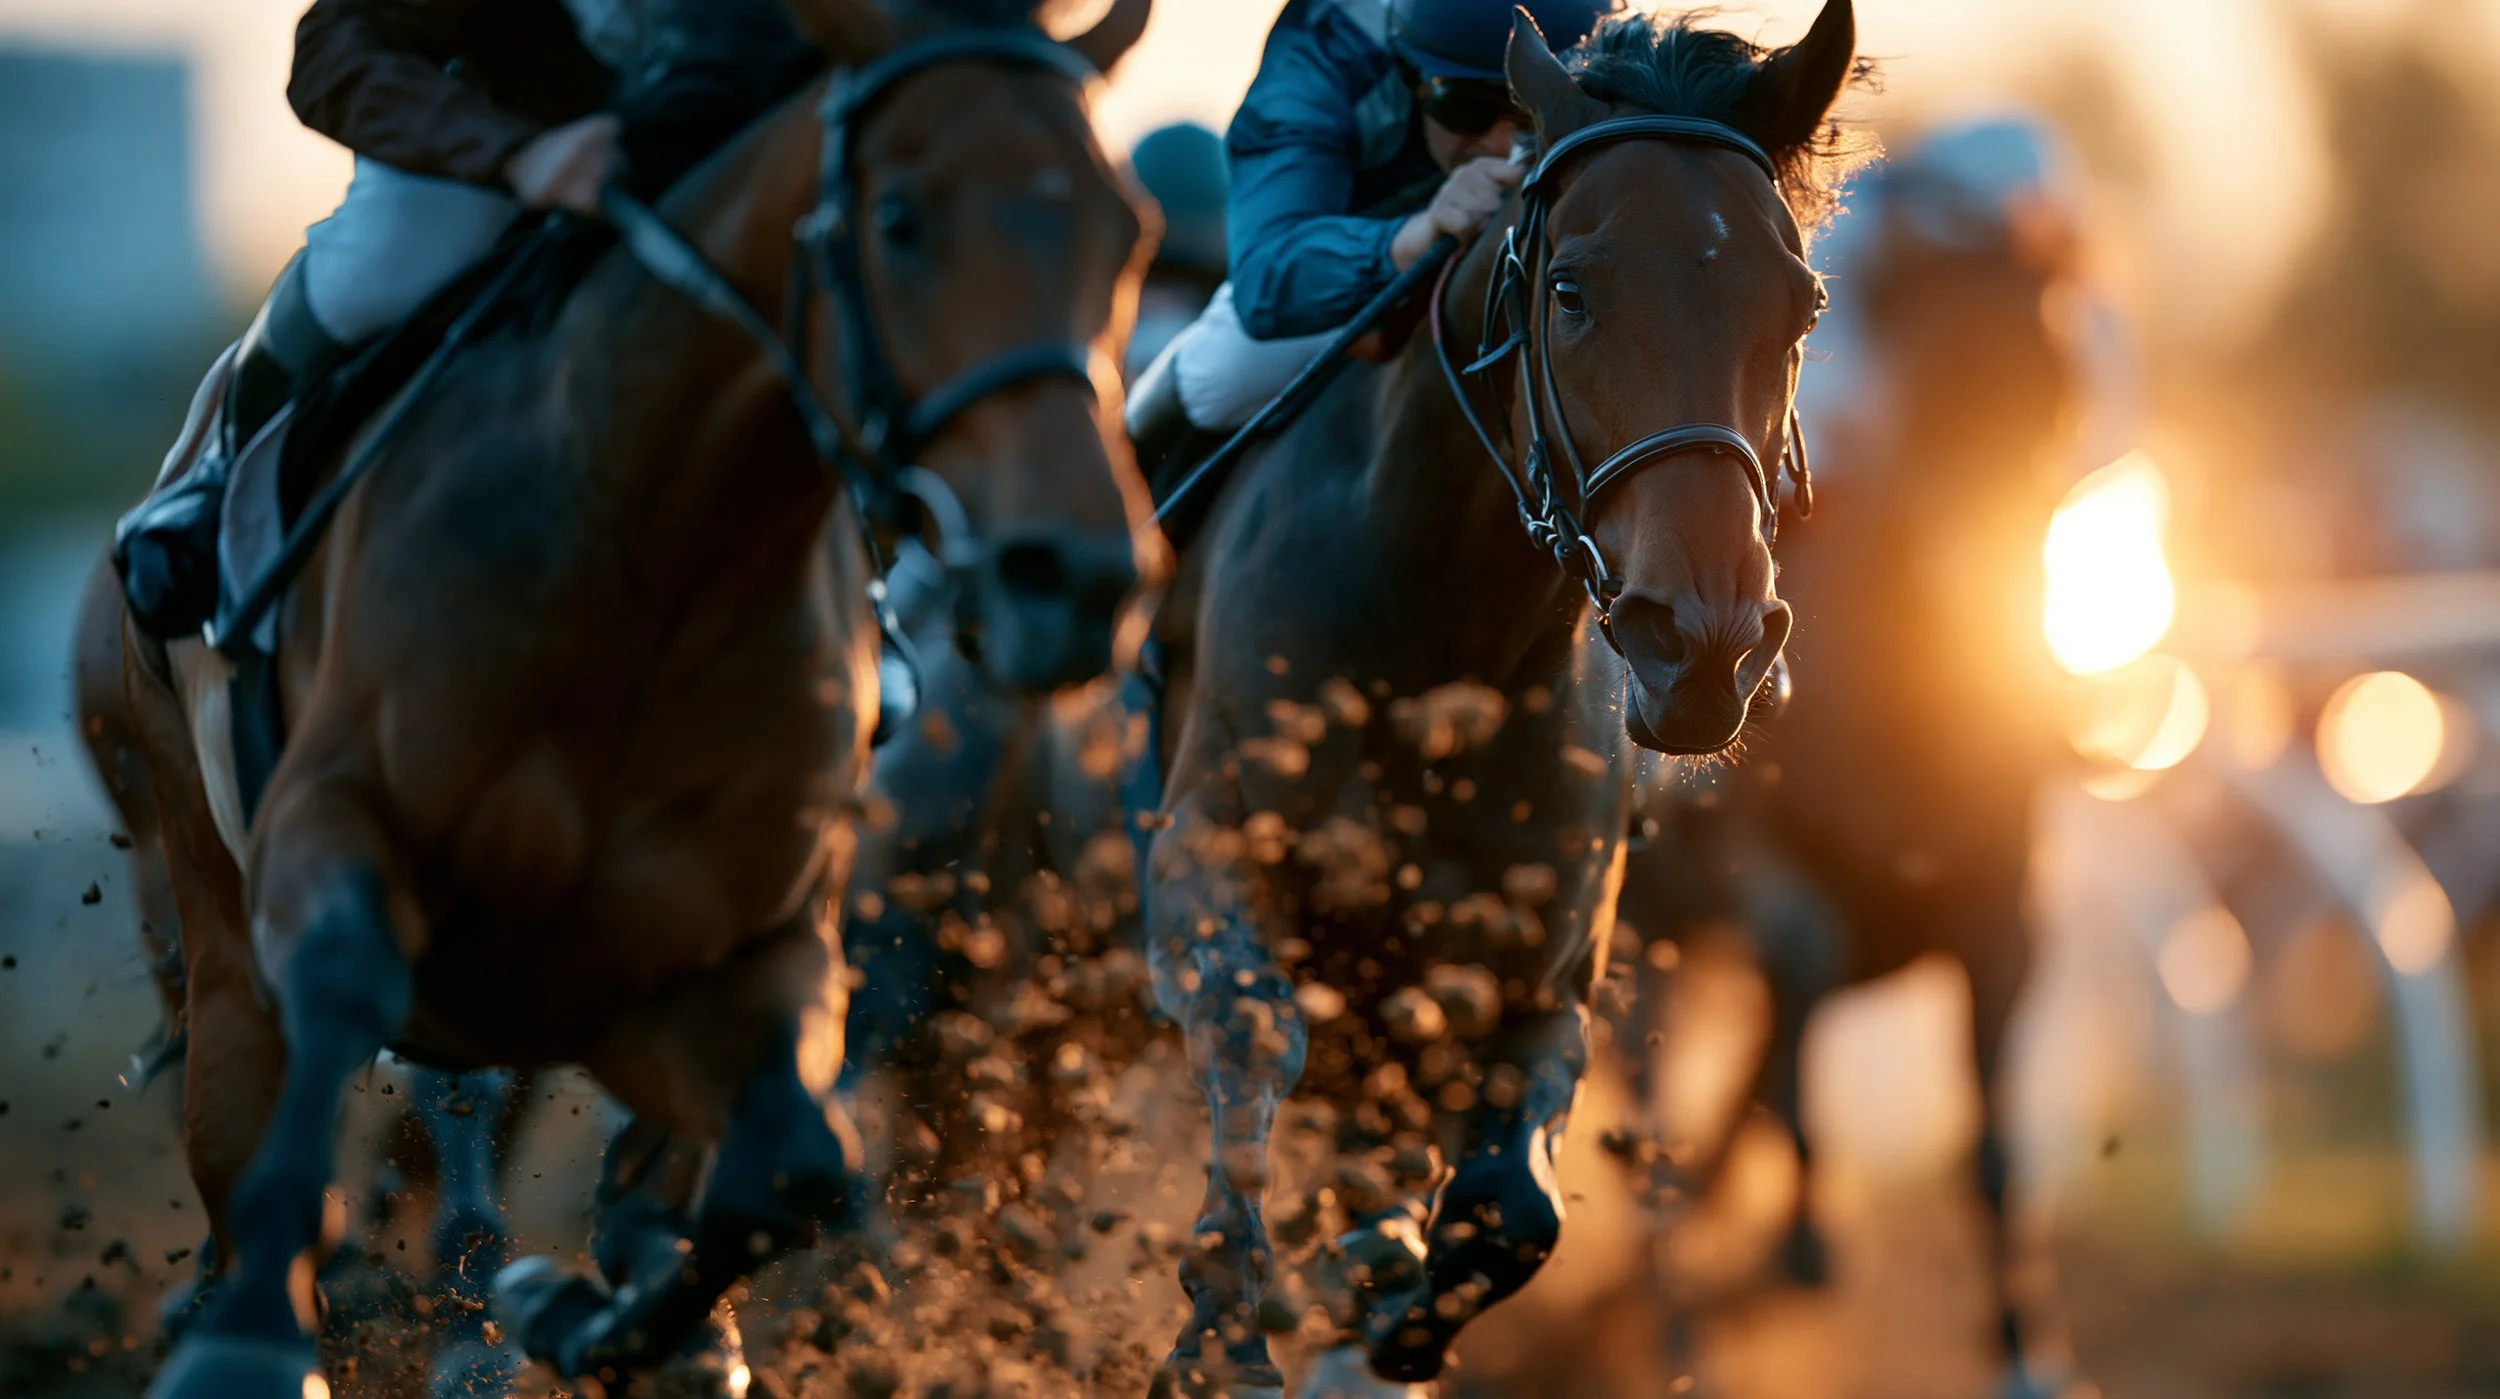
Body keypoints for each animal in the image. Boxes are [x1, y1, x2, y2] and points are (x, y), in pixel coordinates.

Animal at [72, 0, 1162, 1392]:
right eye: (900, 217)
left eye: (1124, 228)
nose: (1075, 577)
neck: (649, 552)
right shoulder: (335, 820)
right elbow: (343, 989)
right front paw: (256, 1338)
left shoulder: (729, 953)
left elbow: (792, 1163)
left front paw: (581, 1309)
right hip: (200, 913)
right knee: (248, 1116)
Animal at [1133, 8, 1862, 1395]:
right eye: (1568, 289)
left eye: (1800, 304)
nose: (1702, 645)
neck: (1438, 631)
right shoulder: (1206, 850)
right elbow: (1249, 1035)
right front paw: (1224, 1326)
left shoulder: (1540, 973)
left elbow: (1506, 1211)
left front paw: (1380, 1311)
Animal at [1609, 124, 2089, 1399]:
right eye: (1948, 379)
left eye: (2055, 383)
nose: (1981, 581)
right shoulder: (1757, 870)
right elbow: (1798, 961)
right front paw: (1804, 1237)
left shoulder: (2001, 902)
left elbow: (1991, 1137)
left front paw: (2025, 1344)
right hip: (1632, 935)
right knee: (1643, 1121)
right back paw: (1679, 1313)